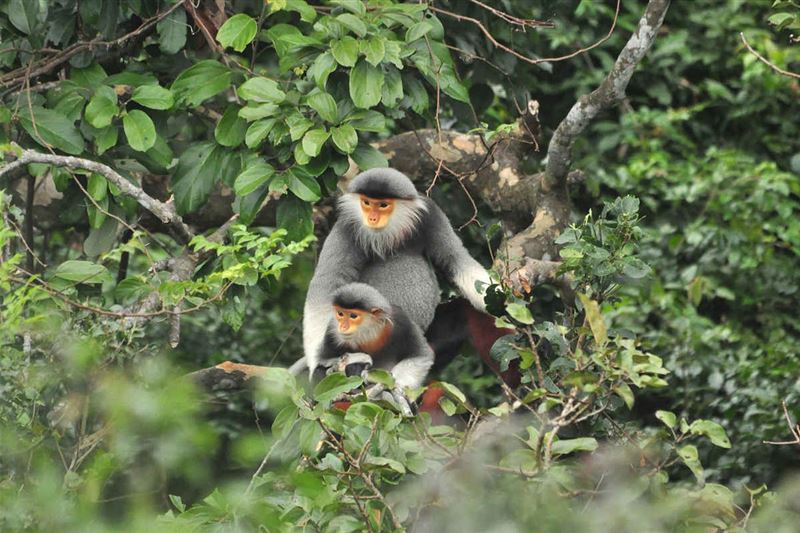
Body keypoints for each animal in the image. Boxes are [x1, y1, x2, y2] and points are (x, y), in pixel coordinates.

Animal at [304, 168, 496, 376]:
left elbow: (456, 260)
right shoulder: (346, 226)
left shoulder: (431, 215)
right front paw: (320, 361)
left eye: (383, 205)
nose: (372, 218)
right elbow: (326, 284)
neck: (388, 236)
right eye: (366, 203)